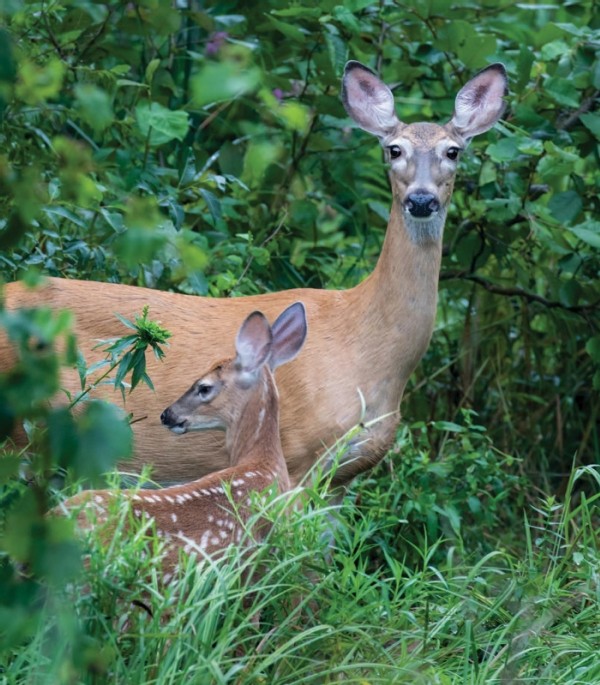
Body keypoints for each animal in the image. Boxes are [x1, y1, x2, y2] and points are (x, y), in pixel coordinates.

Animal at [0, 60, 506, 486]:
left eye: (454, 151)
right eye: (393, 148)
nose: (421, 200)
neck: (369, 350)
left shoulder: (342, 475)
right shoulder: (296, 454)